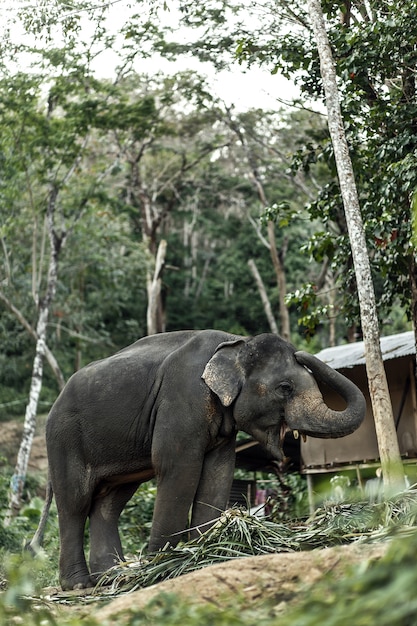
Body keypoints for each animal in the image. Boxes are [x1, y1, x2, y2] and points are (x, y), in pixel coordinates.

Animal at [30, 330, 364, 588]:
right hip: (63, 438)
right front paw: (162, 565)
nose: (303, 353)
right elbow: (178, 468)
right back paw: (79, 585)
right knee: (75, 503)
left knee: (109, 503)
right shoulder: (183, 398)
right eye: (285, 388)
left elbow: (218, 474)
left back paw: (111, 577)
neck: (236, 343)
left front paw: (206, 554)